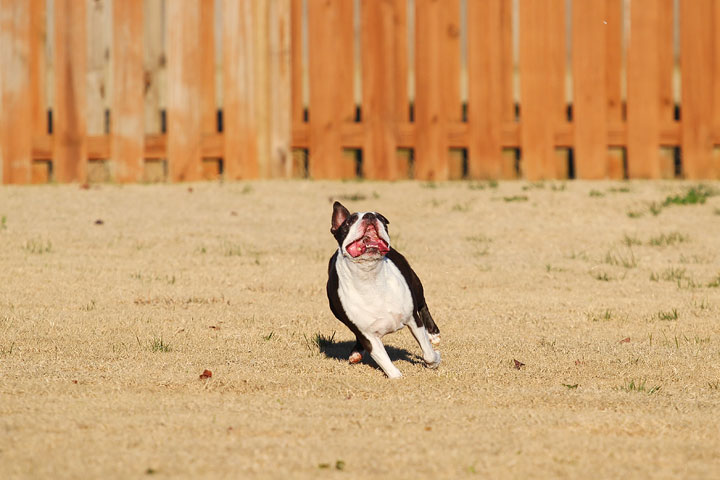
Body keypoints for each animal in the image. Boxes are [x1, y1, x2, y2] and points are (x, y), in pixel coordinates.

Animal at [326, 201, 438, 376]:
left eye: (383, 219)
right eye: (349, 222)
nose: (369, 216)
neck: (370, 277)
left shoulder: (413, 319)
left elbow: (428, 352)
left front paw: (435, 360)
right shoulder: (367, 336)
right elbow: (385, 362)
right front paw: (397, 377)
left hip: (415, 284)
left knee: (423, 304)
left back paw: (433, 333)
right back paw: (356, 353)